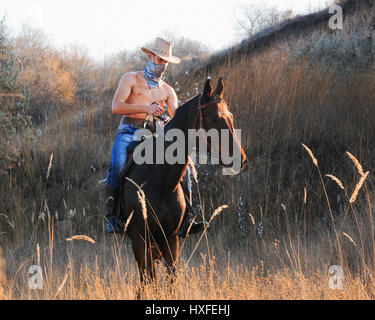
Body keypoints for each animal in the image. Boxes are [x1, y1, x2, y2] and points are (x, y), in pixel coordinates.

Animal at [119, 77, 247, 288]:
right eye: (214, 118)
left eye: (231, 117)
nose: (241, 158)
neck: (160, 180)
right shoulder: (139, 239)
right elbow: (148, 282)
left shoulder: (171, 239)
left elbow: (170, 281)